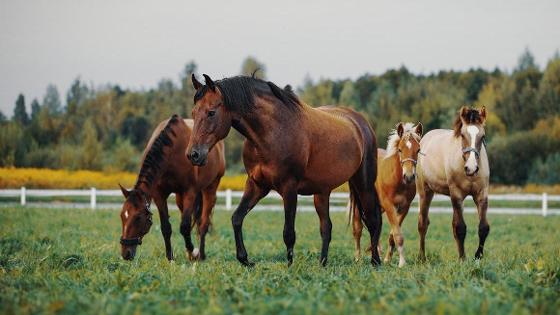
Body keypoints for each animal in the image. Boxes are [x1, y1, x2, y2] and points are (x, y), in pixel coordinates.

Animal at [119, 115, 224, 262]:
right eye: (122, 216)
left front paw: (193, 251)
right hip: (180, 198)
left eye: (138, 217)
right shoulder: (159, 195)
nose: (126, 253)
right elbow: (166, 227)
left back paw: (201, 254)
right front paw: (170, 257)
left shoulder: (190, 192)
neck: (172, 151)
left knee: (203, 223)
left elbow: (184, 227)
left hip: (211, 187)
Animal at [186, 74, 382, 266]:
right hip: (322, 192)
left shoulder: (289, 188)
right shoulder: (257, 185)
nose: (193, 154)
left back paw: (376, 261)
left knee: (373, 221)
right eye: (193, 113)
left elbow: (288, 232)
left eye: (211, 112)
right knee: (326, 227)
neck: (273, 132)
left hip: (364, 184)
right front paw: (245, 259)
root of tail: (360, 122)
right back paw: (322, 263)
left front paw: (290, 266)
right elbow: (236, 218)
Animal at [352, 122, 422, 268]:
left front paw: (387, 260)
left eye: (418, 150)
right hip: (358, 202)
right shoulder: (389, 206)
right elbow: (398, 235)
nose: (409, 177)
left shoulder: (404, 208)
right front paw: (402, 263)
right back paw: (358, 258)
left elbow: (392, 236)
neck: (397, 180)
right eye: (400, 149)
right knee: (357, 229)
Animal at [416, 107, 490, 262]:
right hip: (425, 192)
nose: (471, 168)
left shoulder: (481, 194)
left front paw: (478, 256)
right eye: (462, 135)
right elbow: (460, 228)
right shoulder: (456, 195)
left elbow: (483, 227)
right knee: (423, 224)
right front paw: (462, 259)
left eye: (483, 136)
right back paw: (422, 258)